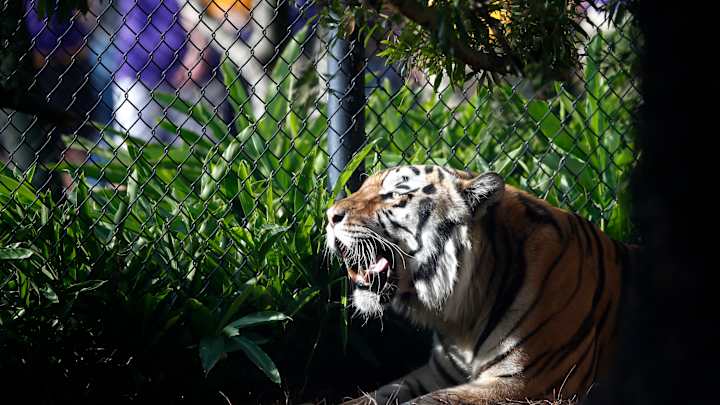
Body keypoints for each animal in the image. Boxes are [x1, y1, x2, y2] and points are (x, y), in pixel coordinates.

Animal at [325, 165, 637, 405]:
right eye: (361, 187)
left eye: (396, 194)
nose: (329, 216)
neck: (462, 318)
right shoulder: (433, 374)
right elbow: (375, 395)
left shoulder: (523, 383)